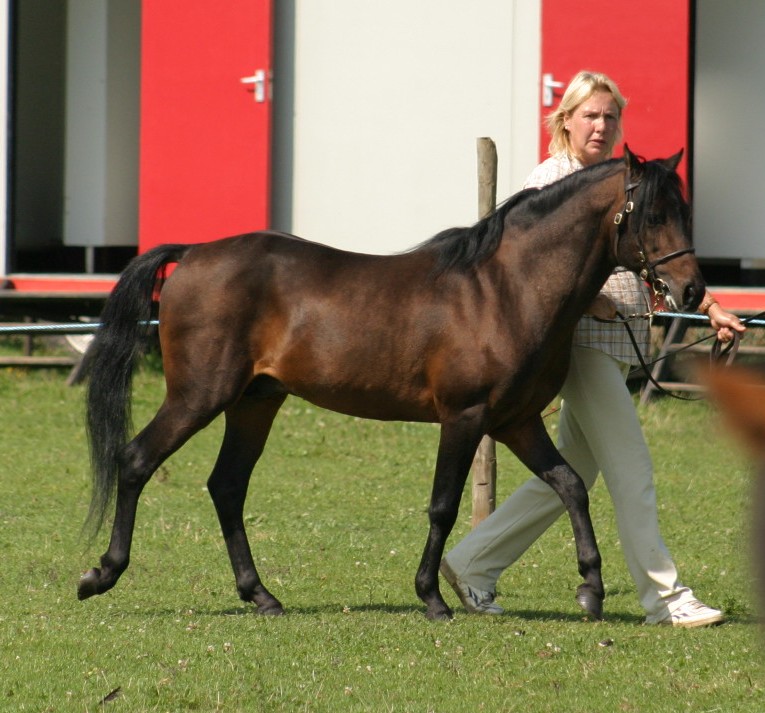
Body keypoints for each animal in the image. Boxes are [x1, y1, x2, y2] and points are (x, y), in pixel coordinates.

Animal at [78, 146, 705, 621]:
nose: (693, 289)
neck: (507, 289)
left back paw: (262, 596)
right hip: (198, 397)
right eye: (652, 215)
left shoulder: (517, 422)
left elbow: (570, 484)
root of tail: (193, 254)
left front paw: (590, 589)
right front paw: (432, 598)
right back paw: (101, 573)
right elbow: (443, 506)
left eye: (684, 210)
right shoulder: (465, 418)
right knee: (135, 460)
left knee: (227, 487)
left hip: (255, 403)